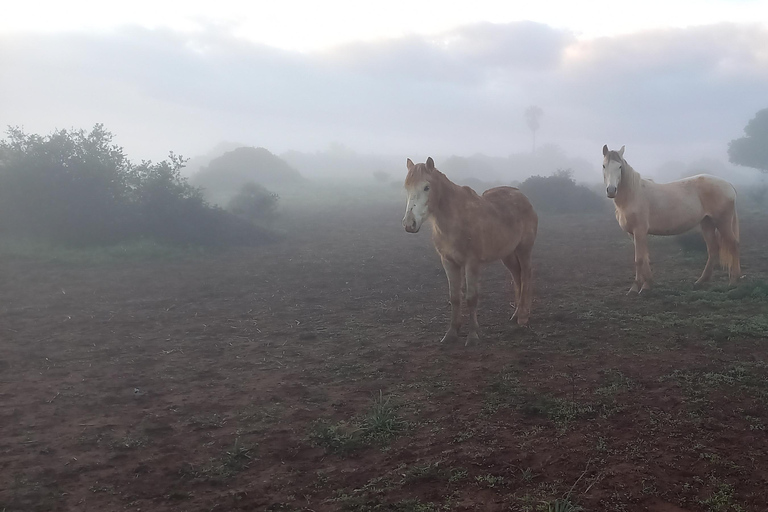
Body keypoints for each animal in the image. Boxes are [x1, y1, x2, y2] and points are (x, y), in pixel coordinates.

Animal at [402, 158, 540, 346]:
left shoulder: (472, 263)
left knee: (526, 276)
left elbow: (471, 298)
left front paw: (473, 336)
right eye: (406, 187)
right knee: (517, 276)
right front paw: (451, 334)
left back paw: (523, 318)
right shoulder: (448, 262)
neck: (455, 220)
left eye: (426, 187)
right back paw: (515, 315)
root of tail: (523, 197)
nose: (409, 224)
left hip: (523, 249)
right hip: (507, 254)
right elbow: (455, 298)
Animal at [604, 146, 740, 294]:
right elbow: (644, 258)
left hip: (722, 222)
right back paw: (700, 282)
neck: (633, 195)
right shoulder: (632, 234)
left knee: (733, 245)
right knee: (713, 249)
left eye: (619, 167)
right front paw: (644, 285)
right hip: (707, 223)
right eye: (604, 166)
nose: (611, 190)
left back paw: (733, 281)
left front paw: (639, 288)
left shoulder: (639, 231)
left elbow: (639, 258)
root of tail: (728, 184)